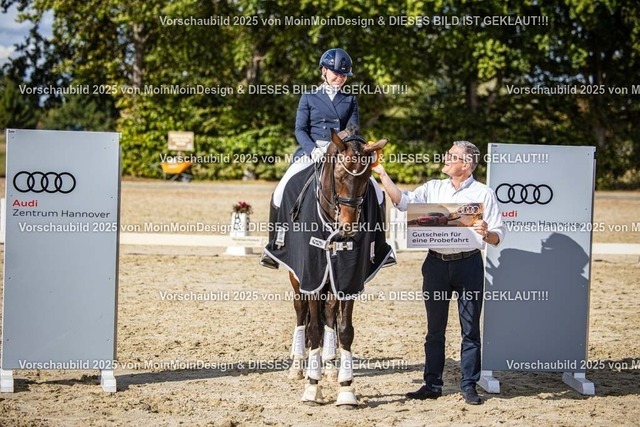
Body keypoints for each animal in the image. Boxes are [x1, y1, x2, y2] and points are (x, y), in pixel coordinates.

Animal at [264, 128, 393, 406]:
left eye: (366, 178)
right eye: (340, 175)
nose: (348, 227)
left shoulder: (349, 278)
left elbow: (345, 330)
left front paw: (346, 388)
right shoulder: (311, 275)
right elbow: (313, 329)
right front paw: (312, 387)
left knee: (330, 314)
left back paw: (331, 366)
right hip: (298, 277)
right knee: (301, 312)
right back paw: (298, 366)